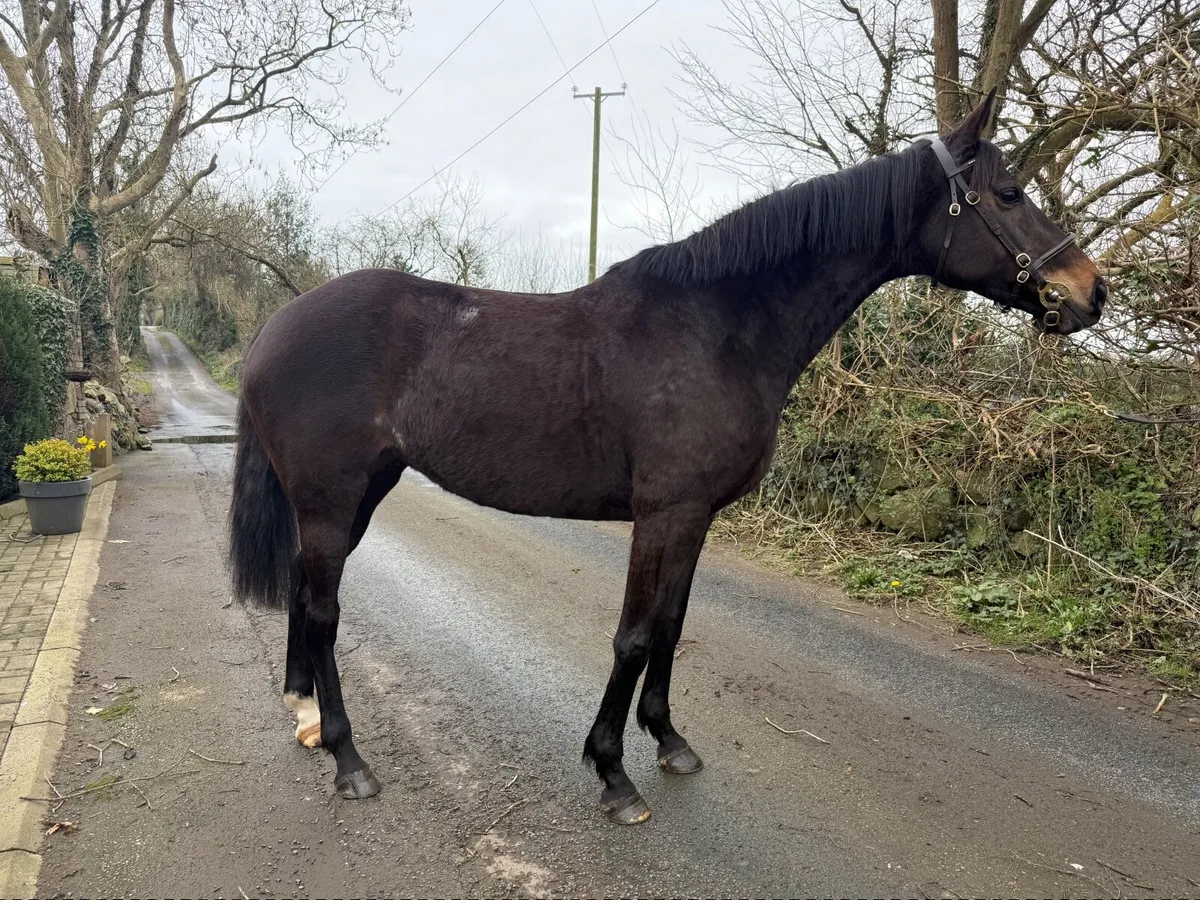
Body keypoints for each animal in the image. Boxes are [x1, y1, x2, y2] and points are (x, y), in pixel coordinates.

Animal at [228, 91, 1106, 824]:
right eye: (1008, 194)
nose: (1090, 293)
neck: (717, 328)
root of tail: (277, 326)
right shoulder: (663, 514)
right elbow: (634, 634)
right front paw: (613, 774)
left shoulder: (696, 517)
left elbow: (673, 627)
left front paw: (669, 742)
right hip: (332, 499)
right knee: (323, 611)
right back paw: (348, 758)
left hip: (362, 493)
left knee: (306, 599)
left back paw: (306, 718)